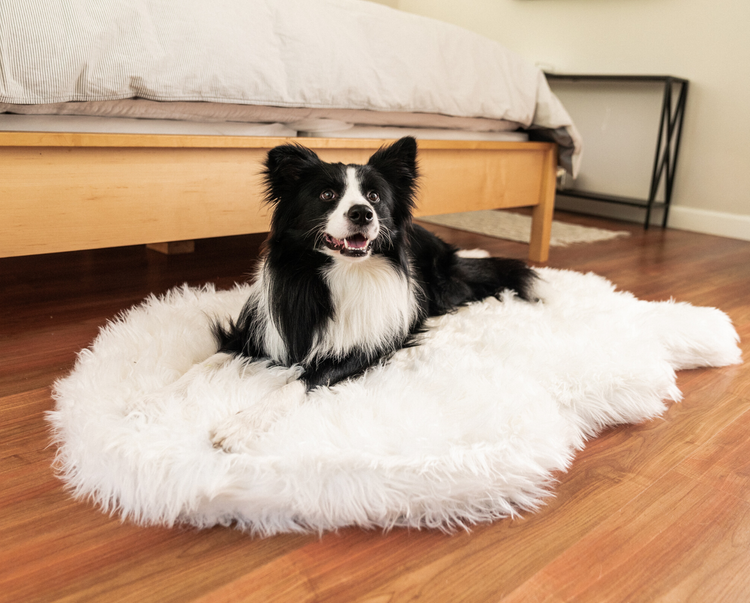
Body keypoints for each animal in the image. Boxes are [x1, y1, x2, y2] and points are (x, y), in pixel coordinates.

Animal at [209, 136, 536, 448]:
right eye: (327, 195)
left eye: (374, 197)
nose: (363, 213)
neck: (342, 271)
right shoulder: (258, 328)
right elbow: (211, 359)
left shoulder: (365, 348)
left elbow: (296, 384)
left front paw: (241, 424)